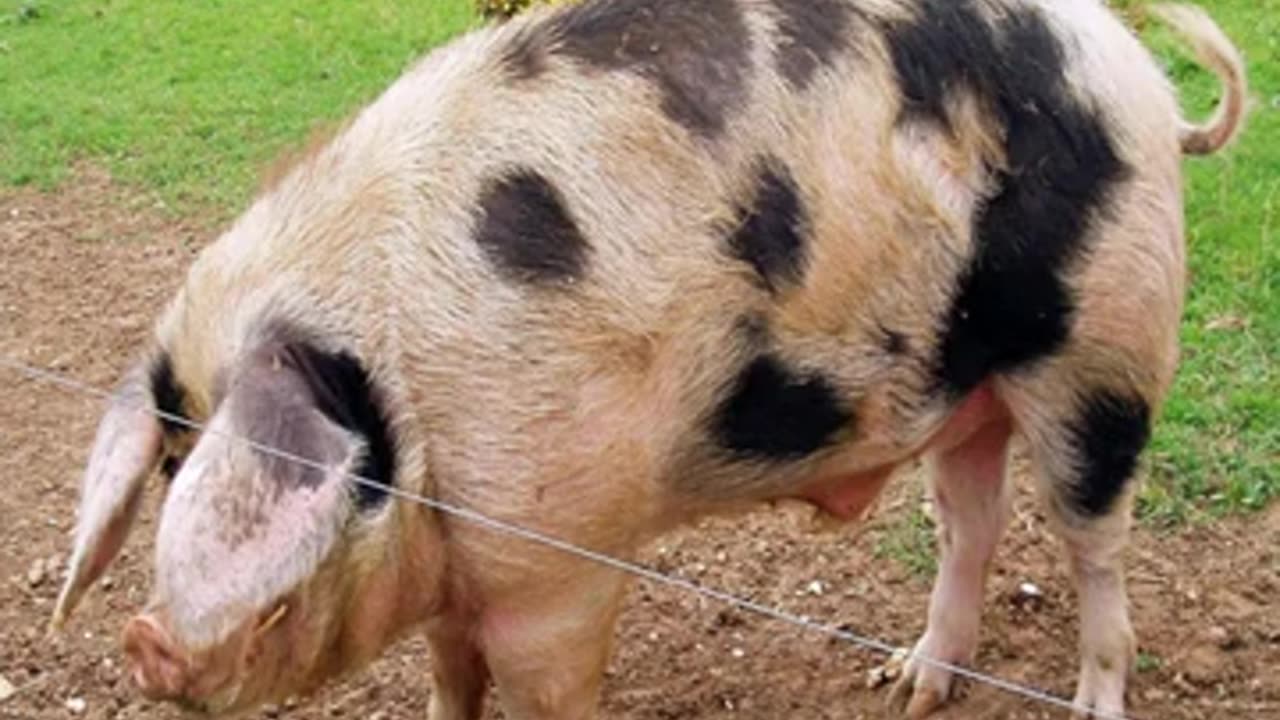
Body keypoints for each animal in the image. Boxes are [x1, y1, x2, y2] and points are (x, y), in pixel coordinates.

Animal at [51, 0, 1246, 718]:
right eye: (171, 461)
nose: (146, 642)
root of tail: (1134, 75)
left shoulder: (560, 557)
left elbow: (543, 685)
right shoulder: (461, 575)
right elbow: (449, 675)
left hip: (1104, 350)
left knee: (1094, 544)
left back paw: (1089, 699)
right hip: (968, 385)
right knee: (971, 521)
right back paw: (904, 683)